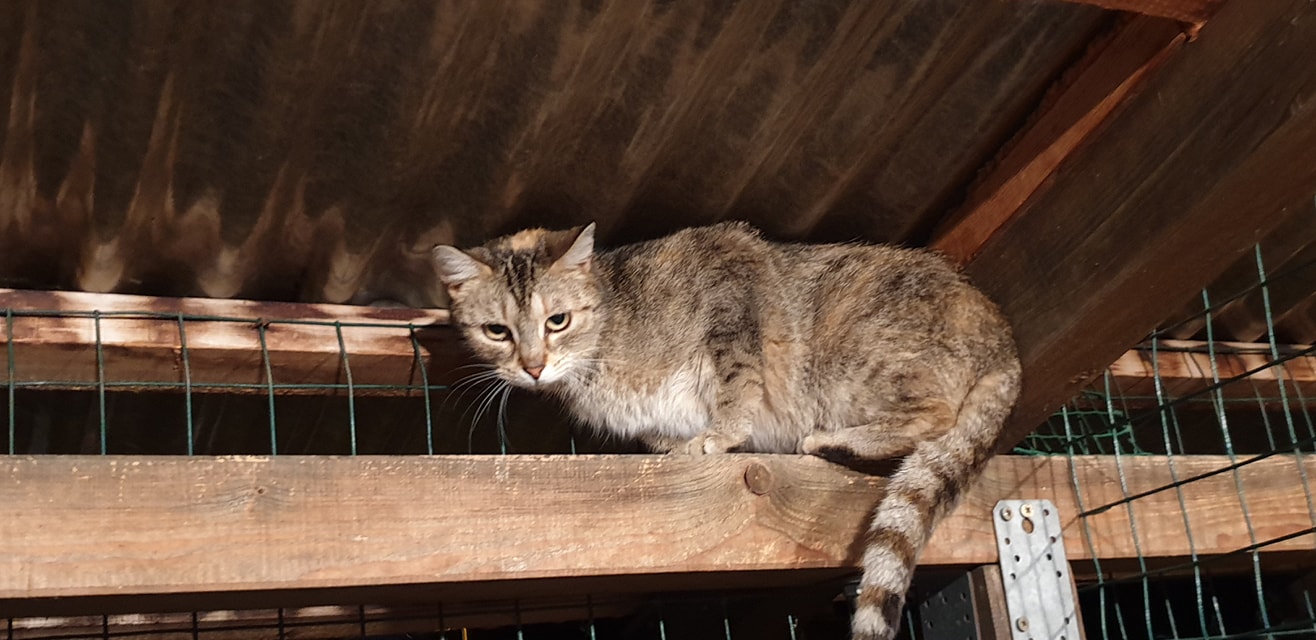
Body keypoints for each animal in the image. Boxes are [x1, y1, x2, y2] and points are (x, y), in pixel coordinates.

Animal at [432, 221, 1020, 640]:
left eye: (558, 321)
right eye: (496, 331)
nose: (532, 367)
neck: (608, 336)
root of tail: (1004, 339)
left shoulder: (730, 286)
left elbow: (738, 384)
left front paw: (721, 434)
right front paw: (680, 446)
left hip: (860, 360)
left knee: (935, 416)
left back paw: (833, 438)